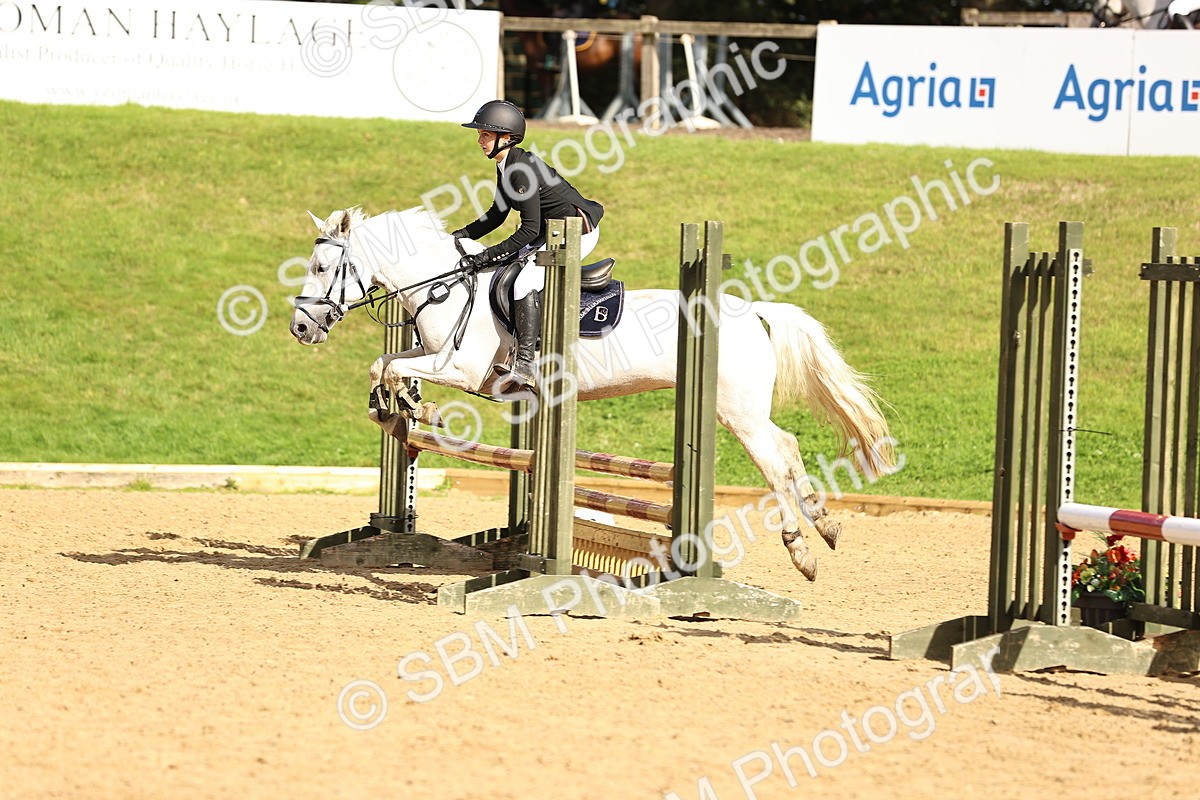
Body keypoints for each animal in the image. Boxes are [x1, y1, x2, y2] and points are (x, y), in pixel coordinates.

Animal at [289, 207, 894, 581]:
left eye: (321, 266)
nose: (300, 328)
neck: (447, 285)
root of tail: (753, 310)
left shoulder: (461, 367)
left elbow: (398, 369)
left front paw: (413, 407)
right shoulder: (439, 358)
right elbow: (385, 364)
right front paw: (401, 409)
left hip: (735, 412)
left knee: (774, 460)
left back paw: (802, 549)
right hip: (742, 411)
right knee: (788, 447)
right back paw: (826, 524)